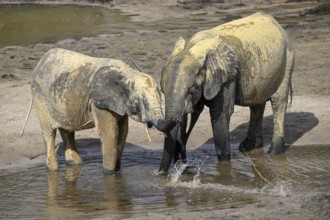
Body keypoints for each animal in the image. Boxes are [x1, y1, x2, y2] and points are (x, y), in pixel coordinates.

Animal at [22, 48, 170, 174]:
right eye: (140, 101)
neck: (127, 73)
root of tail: (41, 60)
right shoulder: (99, 102)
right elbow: (110, 132)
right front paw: (110, 173)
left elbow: (123, 131)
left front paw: (117, 171)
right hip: (40, 97)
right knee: (49, 133)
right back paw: (53, 169)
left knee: (67, 131)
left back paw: (75, 164)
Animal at [159, 12, 296, 174]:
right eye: (161, 90)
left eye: (191, 90)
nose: (160, 174)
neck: (191, 50)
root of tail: (276, 23)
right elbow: (193, 113)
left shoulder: (227, 78)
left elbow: (220, 113)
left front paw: (224, 167)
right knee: (257, 105)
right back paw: (248, 148)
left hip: (287, 59)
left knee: (278, 102)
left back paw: (273, 153)